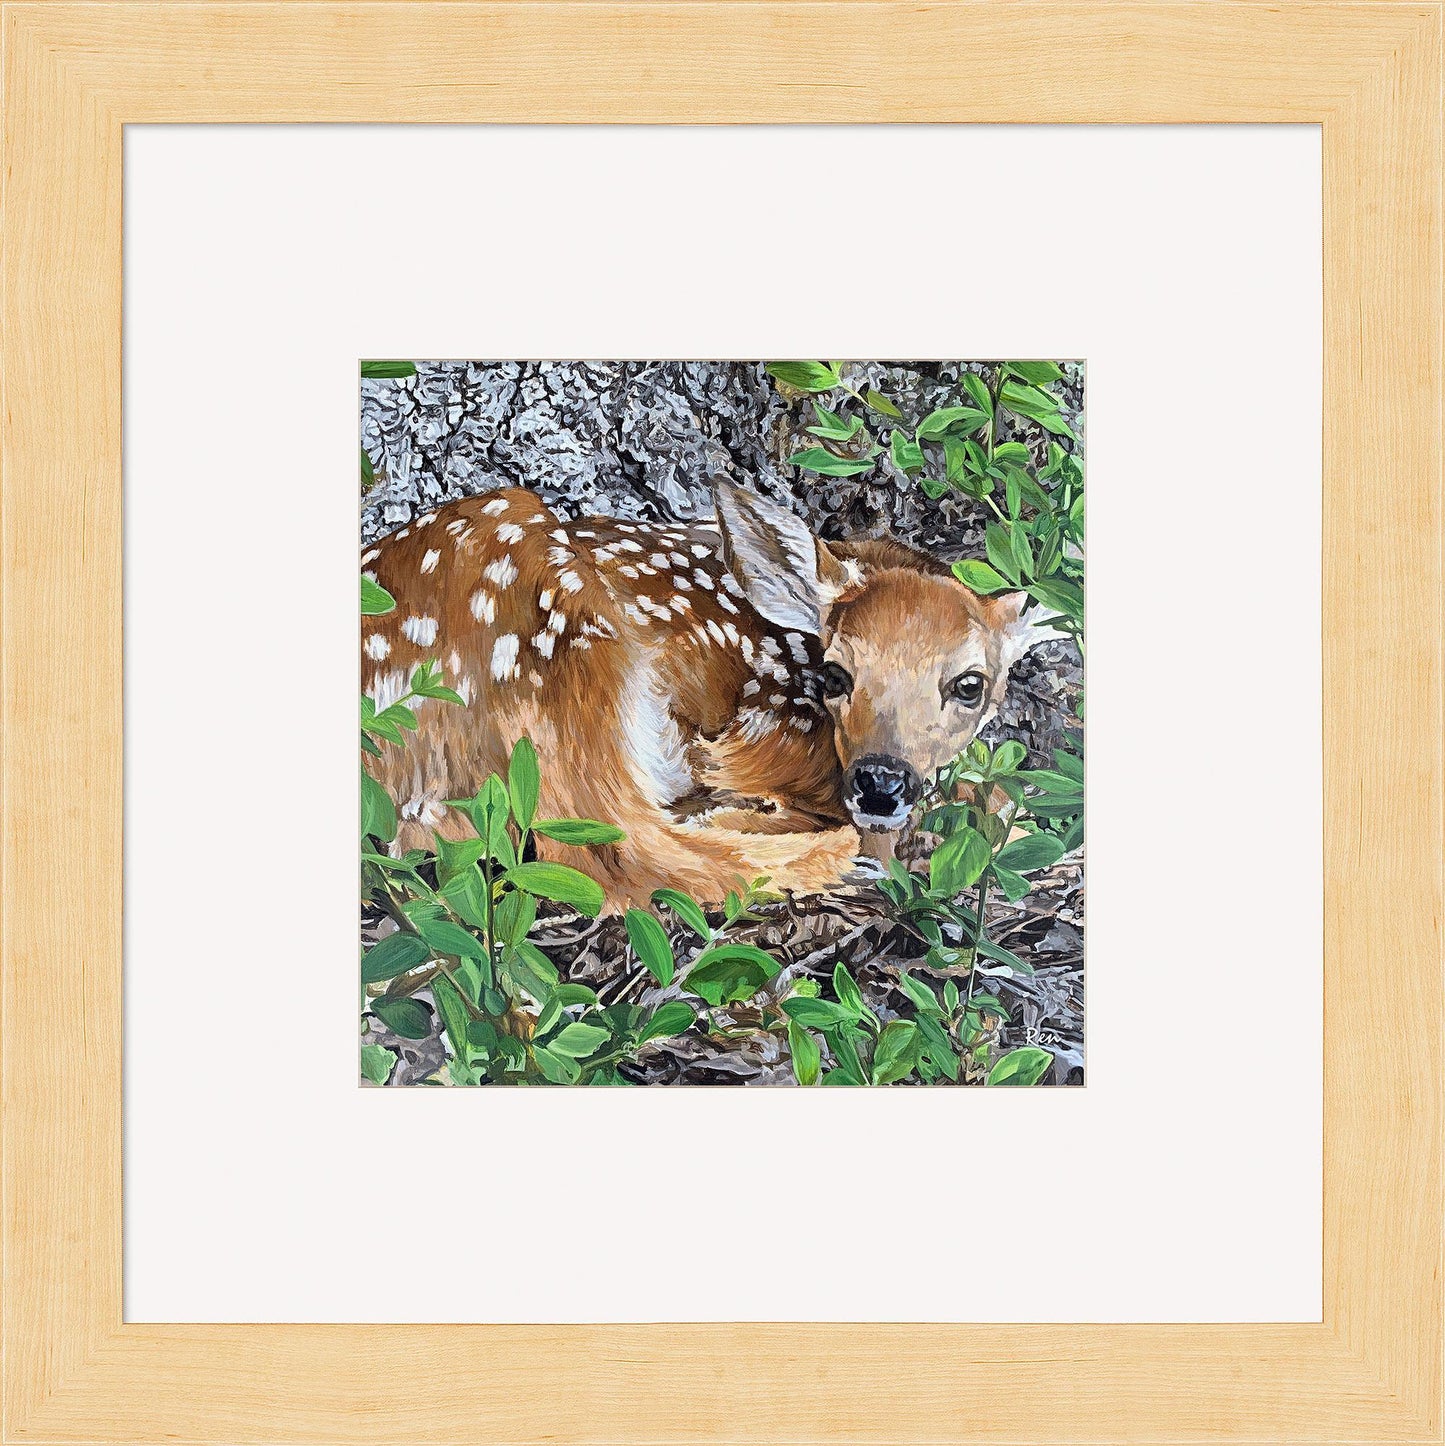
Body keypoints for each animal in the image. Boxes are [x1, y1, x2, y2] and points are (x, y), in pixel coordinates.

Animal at [361, 478, 1063, 911]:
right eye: (837, 675)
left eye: (969, 685)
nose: (880, 783)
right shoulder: (757, 729)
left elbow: (998, 795)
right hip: (558, 644)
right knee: (619, 853)